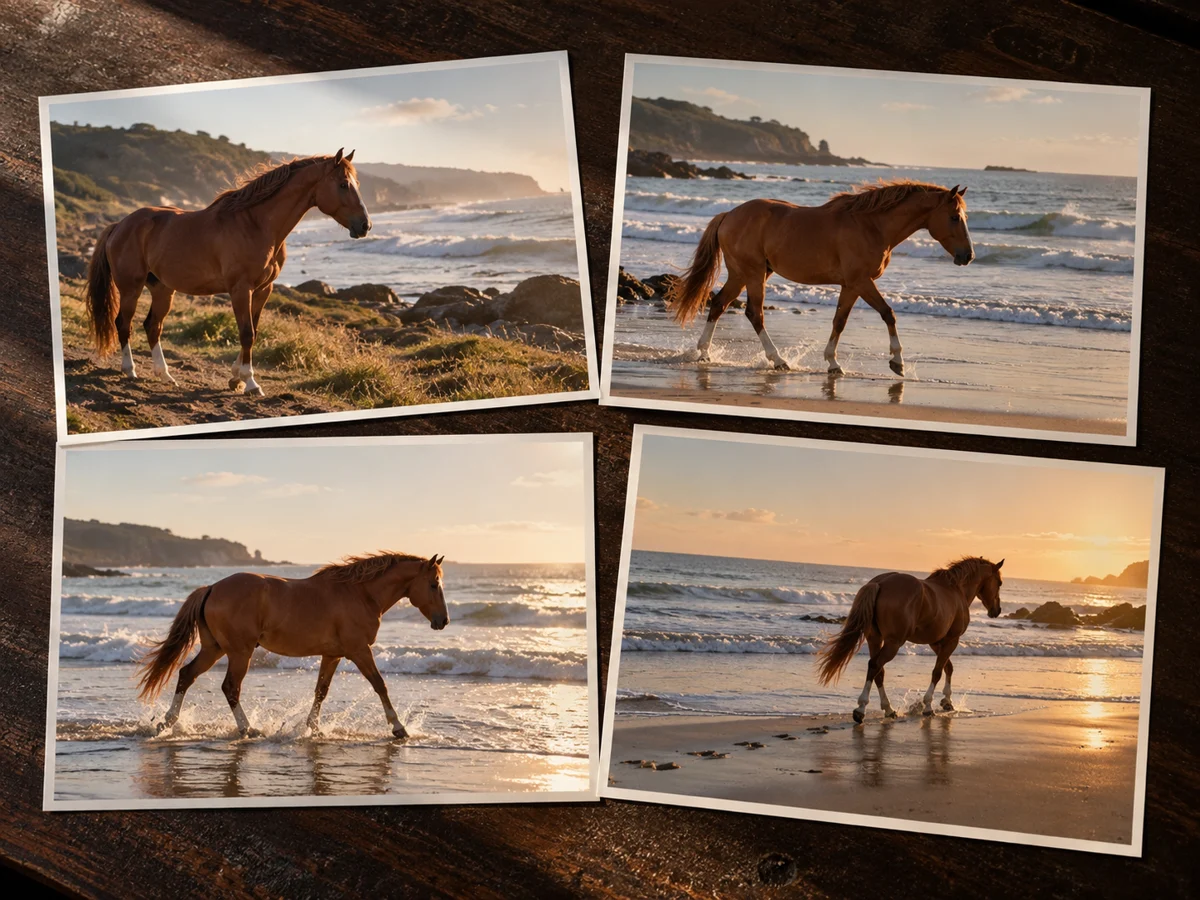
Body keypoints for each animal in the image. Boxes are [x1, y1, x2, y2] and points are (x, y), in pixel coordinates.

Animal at [84, 148, 371, 396]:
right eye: (343, 184)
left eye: (357, 183)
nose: (365, 226)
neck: (256, 225)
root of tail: (120, 224)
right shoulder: (240, 289)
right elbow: (247, 333)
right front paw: (251, 383)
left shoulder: (262, 290)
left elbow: (254, 330)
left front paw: (236, 378)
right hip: (131, 288)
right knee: (123, 323)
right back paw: (129, 370)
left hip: (163, 289)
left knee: (152, 326)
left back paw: (165, 374)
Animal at [136, 552, 448, 739]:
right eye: (434, 584)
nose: (443, 621)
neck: (360, 593)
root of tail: (211, 587)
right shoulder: (359, 651)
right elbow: (380, 685)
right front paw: (398, 728)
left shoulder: (332, 655)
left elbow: (321, 691)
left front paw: (313, 729)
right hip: (239, 652)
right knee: (230, 687)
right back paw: (248, 729)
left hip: (215, 649)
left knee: (186, 675)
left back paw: (167, 722)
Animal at [665, 180, 974, 375]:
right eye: (954, 217)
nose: (968, 256)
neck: (872, 225)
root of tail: (729, 214)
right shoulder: (862, 281)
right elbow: (889, 313)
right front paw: (897, 362)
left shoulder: (851, 285)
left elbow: (840, 321)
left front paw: (833, 363)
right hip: (753, 273)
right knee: (754, 313)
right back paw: (778, 360)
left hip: (743, 274)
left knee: (718, 304)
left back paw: (705, 354)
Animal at [815, 556, 1003, 723]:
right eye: (1000, 583)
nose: (997, 610)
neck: (956, 591)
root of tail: (880, 582)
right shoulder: (952, 640)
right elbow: (938, 671)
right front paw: (928, 706)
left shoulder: (936, 642)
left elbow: (947, 668)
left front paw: (947, 702)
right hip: (893, 643)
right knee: (875, 666)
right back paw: (861, 709)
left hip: (874, 639)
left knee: (878, 672)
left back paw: (888, 709)